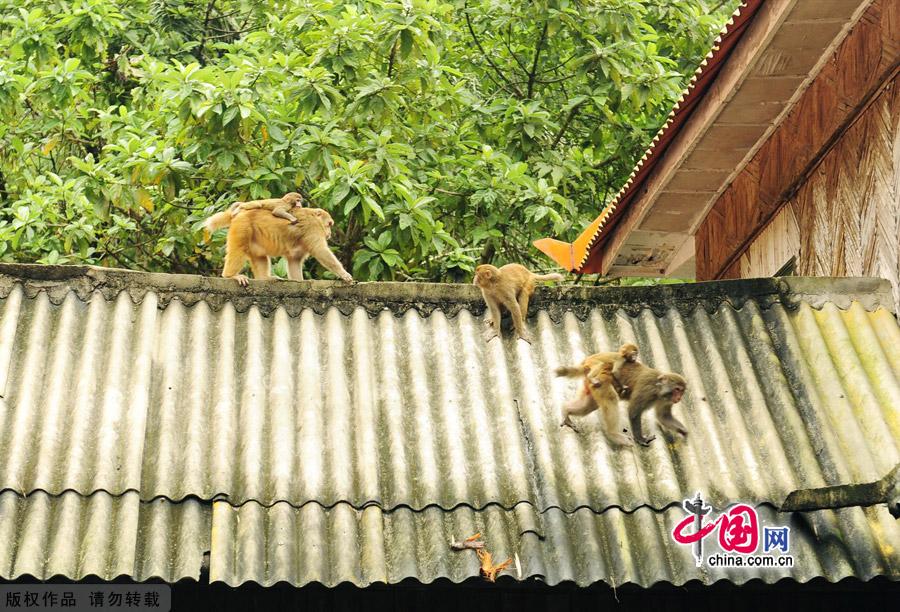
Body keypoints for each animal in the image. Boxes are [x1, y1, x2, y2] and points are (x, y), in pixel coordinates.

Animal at [205, 203, 356, 284]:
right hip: (242, 227)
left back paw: (265, 278)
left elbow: (294, 260)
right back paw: (230, 276)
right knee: (238, 249)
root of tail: (239, 213)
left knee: (260, 256)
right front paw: (344, 274)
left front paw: (299, 281)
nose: (329, 233)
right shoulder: (313, 228)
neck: (315, 218)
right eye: (329, 224)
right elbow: (320, 250)